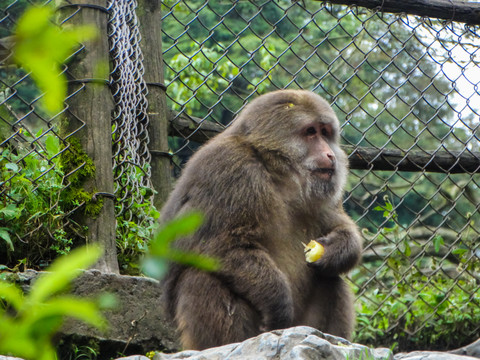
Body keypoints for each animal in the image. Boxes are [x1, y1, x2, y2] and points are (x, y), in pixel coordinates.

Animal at [159, 88, 362, 350]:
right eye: (310, 132)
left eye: (325, 132)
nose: (329, 154)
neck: (277, 172)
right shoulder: (230, 169)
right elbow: (219, 244)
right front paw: (277, 301)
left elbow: (341, 226)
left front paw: (335, 250)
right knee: (201, 275)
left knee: (330, 278)